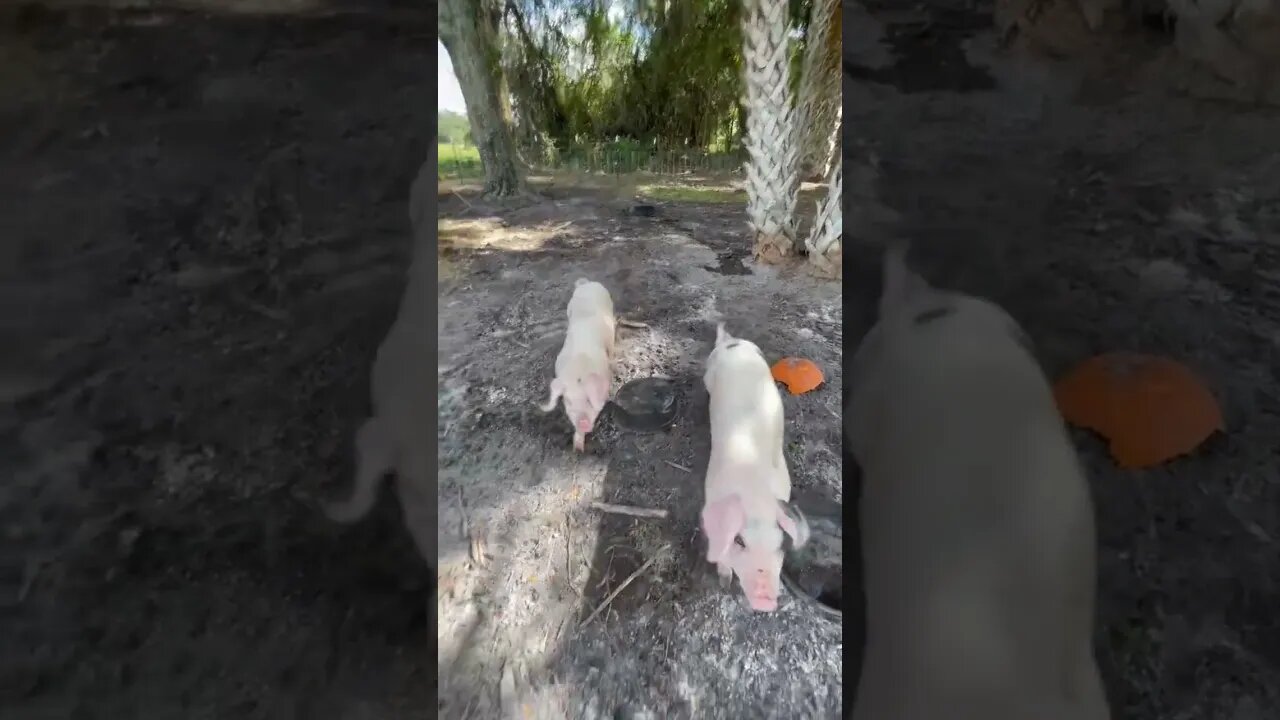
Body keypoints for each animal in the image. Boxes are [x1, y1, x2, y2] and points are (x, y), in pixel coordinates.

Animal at [538, 278, 616, 452]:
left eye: (588, 399)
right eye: (568, 401)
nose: (583, 422)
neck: (578, 368)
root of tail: (586, 283)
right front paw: (577, 449)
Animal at [700, 323, 810, 612]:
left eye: (780, 544)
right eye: (740, 541)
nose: (766, 601)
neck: (754, 488)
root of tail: (731, 341)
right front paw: (724, 582)